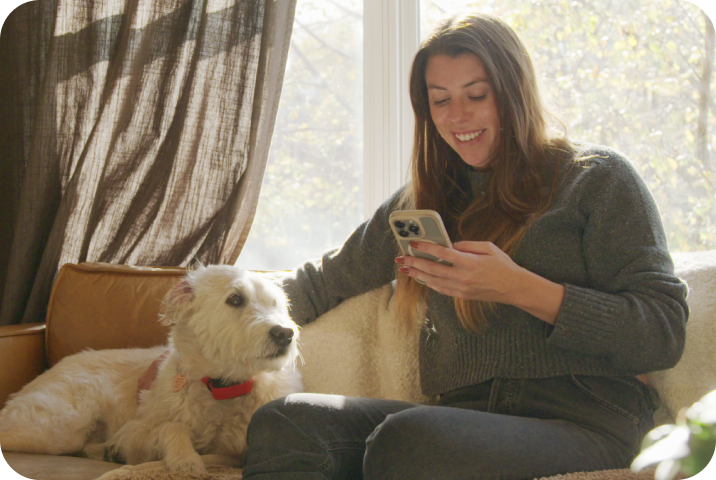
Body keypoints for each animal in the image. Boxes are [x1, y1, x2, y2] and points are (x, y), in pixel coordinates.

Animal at [0, 264, 300, 474]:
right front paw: (185, 459)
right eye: (235, 299)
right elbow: (171, 427)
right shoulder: (136, 432)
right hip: (60, 427)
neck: (223, 387)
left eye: (275, 304)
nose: (286, 334)